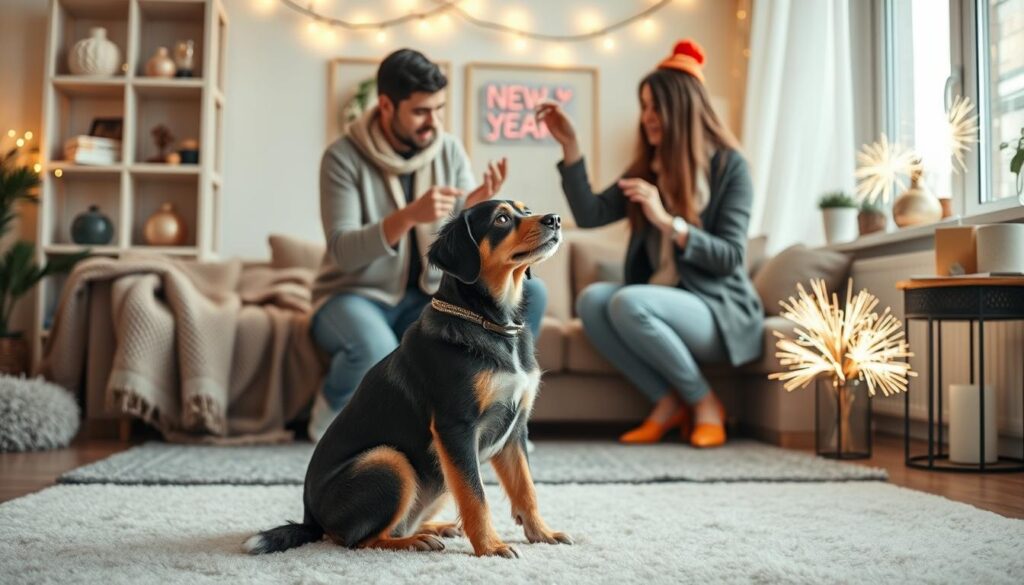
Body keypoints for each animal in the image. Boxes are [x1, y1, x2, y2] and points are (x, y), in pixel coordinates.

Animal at [244, 197, 573, 557]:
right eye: (501, 219)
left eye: (526, 211)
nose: (555, 219)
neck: (493, 323)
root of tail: (312, 520)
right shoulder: (456, 426)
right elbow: (476, 496)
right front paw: (490, 547)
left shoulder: (514, 428)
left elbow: (525, 489)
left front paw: (542, 533)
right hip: (390, 461)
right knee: (358, 540)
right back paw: (416, 541)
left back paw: (437, 527)